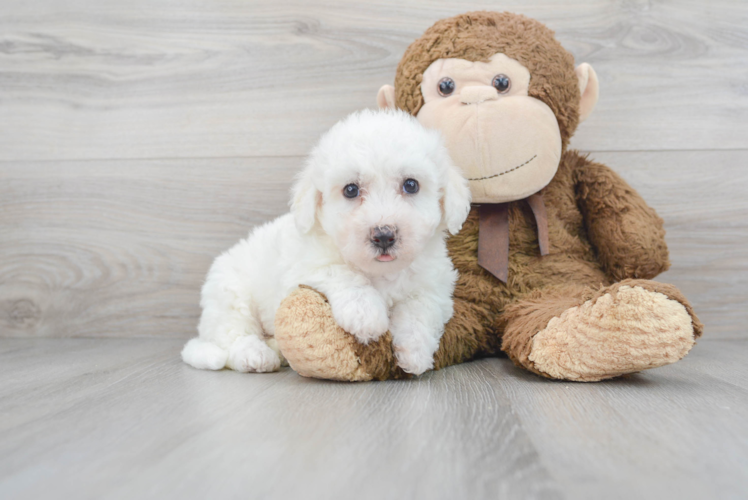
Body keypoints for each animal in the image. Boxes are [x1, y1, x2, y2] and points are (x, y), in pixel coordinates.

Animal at [181, 109, 470, 376]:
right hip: (230, 296)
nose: (384, 235)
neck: (380, 272)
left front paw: (415, 353)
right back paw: (255, 356)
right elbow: (342, 273)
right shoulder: (304, 266)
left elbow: (421, 310)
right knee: (233, 336)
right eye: (351, 190)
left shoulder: (434, 286)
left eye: (411, 185)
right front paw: (366, 315)